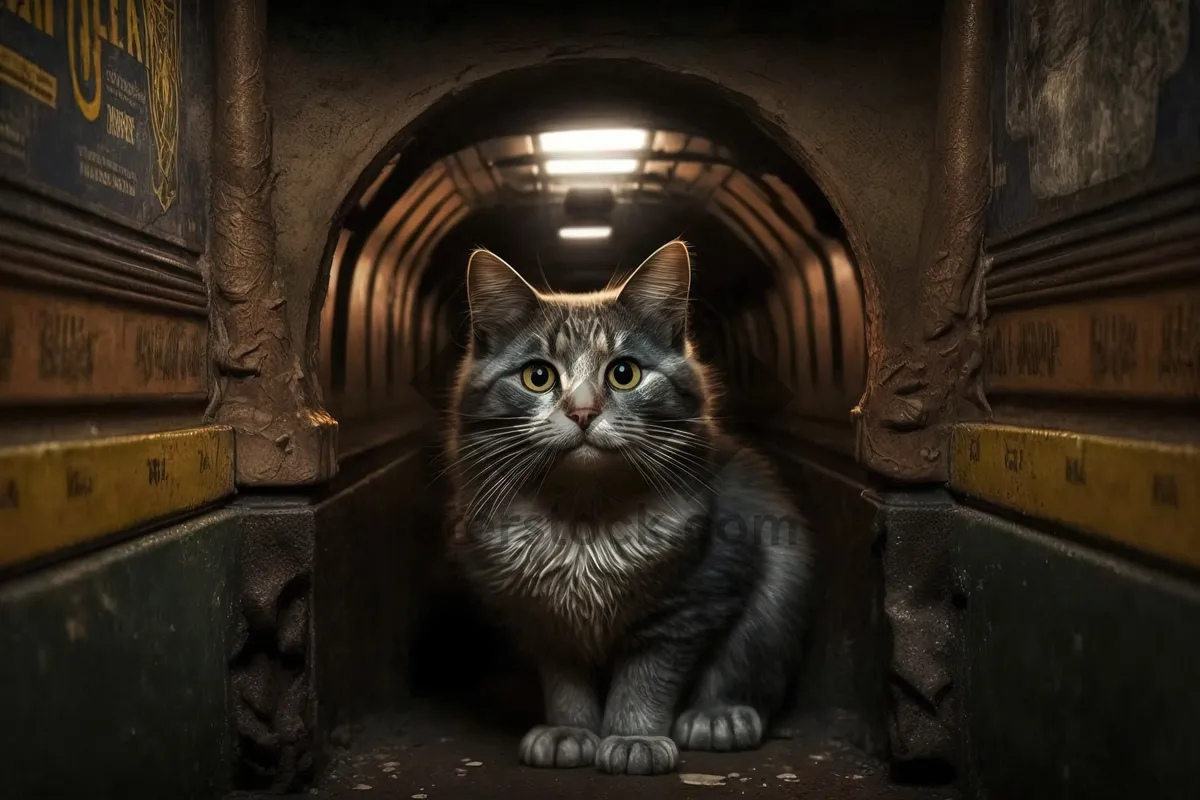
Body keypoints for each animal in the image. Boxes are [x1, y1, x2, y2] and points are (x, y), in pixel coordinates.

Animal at [446, 242, 811, 777]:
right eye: (538, 376)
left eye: (624, 373)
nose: (583, 411)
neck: (584, 518)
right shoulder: (541, 617)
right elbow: (565, 681)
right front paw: (569, 732)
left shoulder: (693, 598)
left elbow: (646, 678)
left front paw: (633, 737)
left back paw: (719, 717)